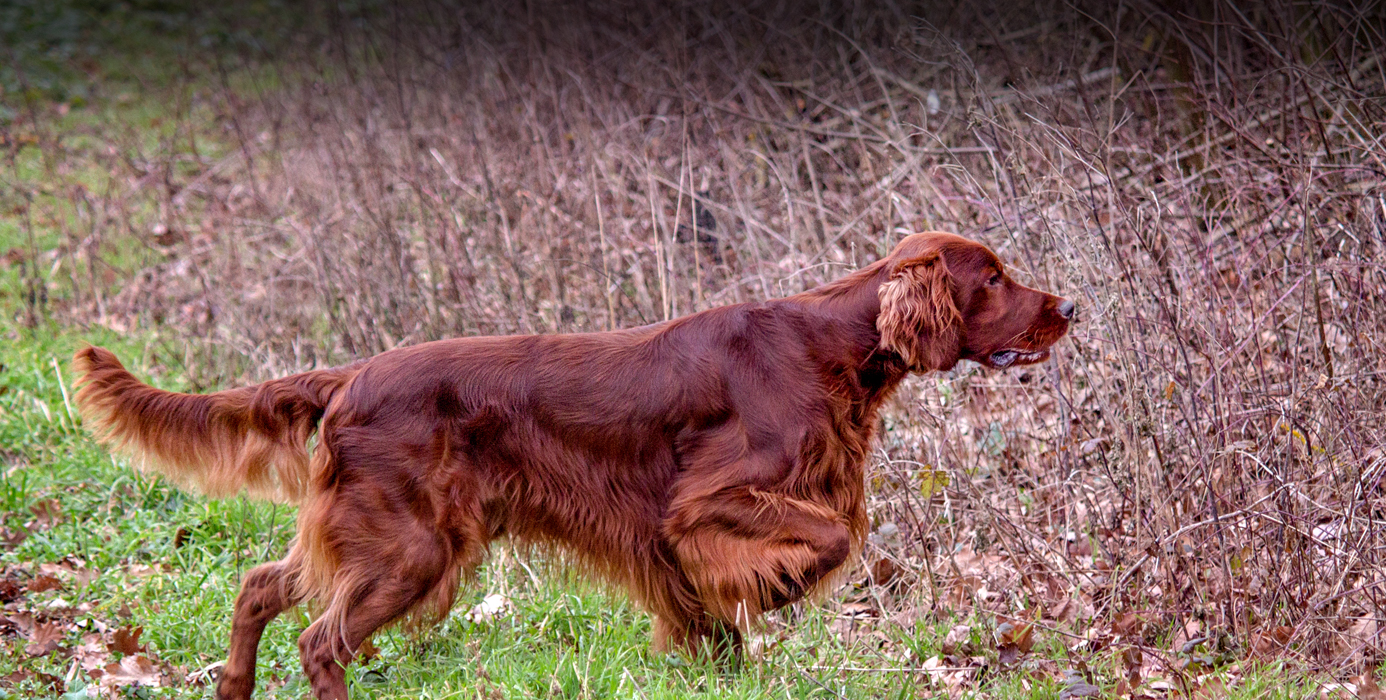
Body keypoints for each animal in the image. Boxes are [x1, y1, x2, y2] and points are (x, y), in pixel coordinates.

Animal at [73, 232, 1069, 698]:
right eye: (992, 278)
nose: (1071, 308)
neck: (830, 343)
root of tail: (350, 375)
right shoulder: (703, 502)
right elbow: (826, 541)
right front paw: (772, 590)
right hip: (411, 547)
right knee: (321, 639)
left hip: (374, 532)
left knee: (258, 587)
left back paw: (233, 688)